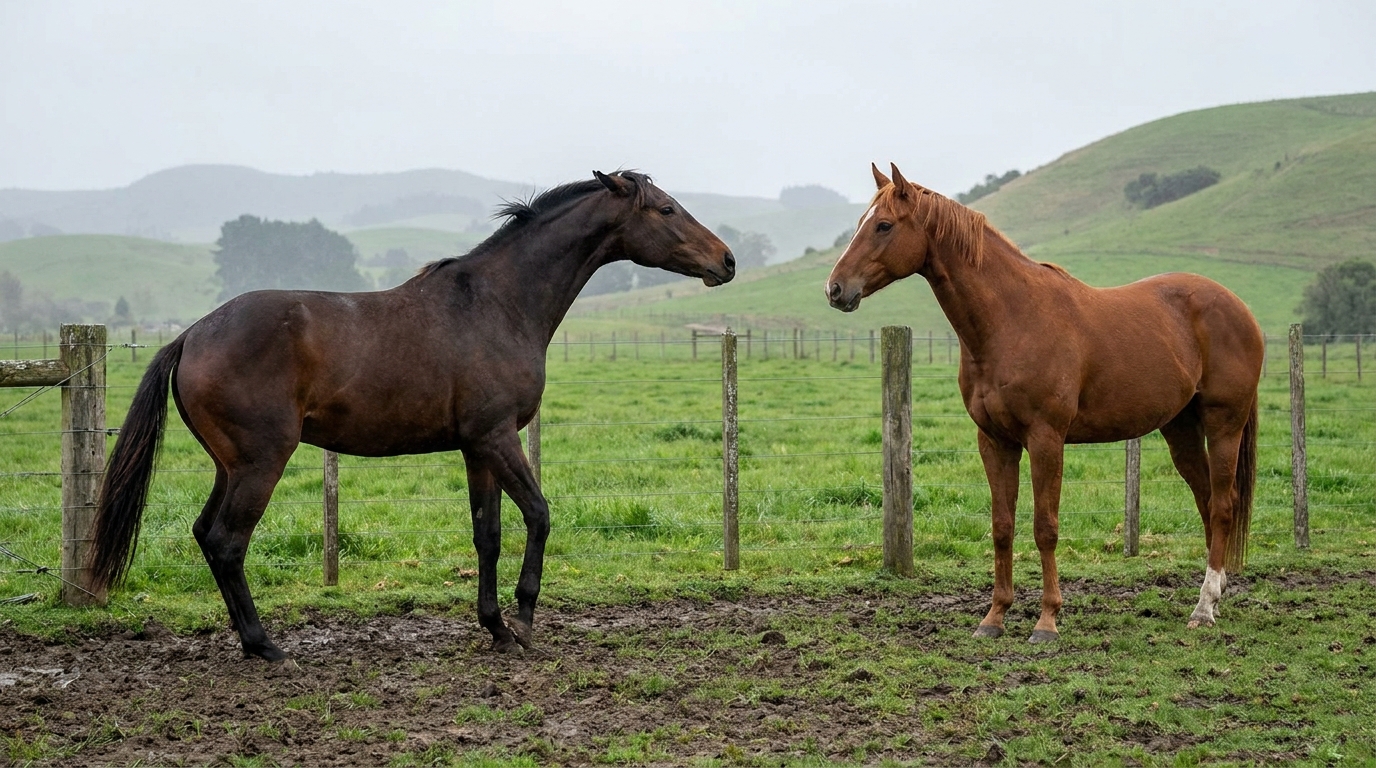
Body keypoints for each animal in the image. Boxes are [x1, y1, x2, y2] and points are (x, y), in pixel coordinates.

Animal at [90, 170, 735, 660]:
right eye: (667, 208)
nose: (726, 261)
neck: (497, 304)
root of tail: (191, 336)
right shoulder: (499, 438)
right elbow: (539, 515)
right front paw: (524, 620)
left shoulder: (478, 447)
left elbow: (487, 534)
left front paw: (495, 627)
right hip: (260, 463)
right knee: (227, 542)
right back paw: (266, 646)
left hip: (230, 466)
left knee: (206, 535)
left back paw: (251, 643)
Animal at [825, 163, 1261, 642]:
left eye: (884, 225)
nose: (835, 289)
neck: (1012, 320)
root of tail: (1239, 308)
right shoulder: (994, 441)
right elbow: (1002, 527)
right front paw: (994, 617)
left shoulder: (1046, 439)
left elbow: (1045, 527)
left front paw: (1047, 620)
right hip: (1180, 428)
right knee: (1206, 500)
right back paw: (1214, 593)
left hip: (1224, 424)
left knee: (1222, 504)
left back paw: (1203, 608)